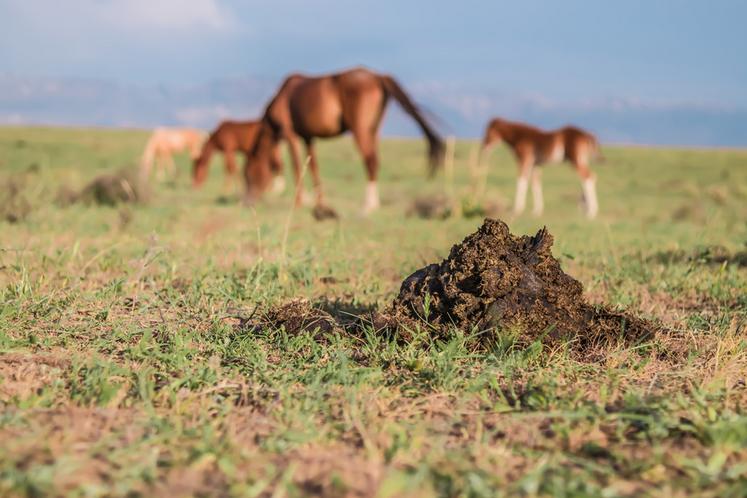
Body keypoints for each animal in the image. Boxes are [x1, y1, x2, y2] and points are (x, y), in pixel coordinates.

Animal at [243, 67, 445, 213]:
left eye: (248, 174)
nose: (247, 202)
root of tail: (378, 76)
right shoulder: (308, 137)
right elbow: (313, 167)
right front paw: (319, 201)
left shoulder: (290, 134)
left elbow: (297, 166)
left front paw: (299, 201)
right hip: (374, 130)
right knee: (375, 160)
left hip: (360, 129)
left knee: (370, 160)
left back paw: (368, 206)